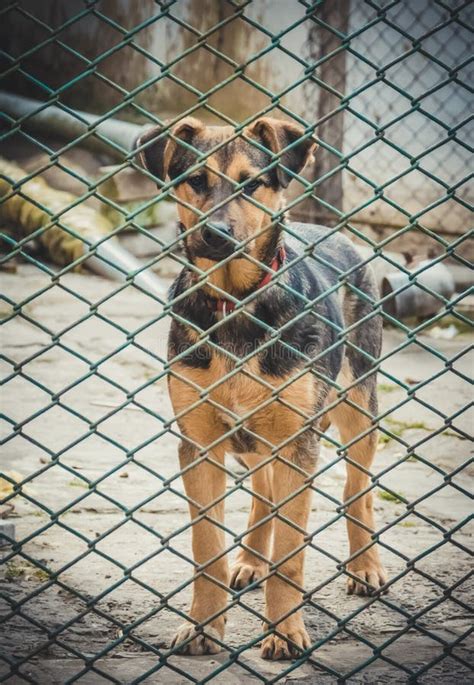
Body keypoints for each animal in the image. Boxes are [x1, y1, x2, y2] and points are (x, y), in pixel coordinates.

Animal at [136, 116, 386, 656]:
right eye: (196, 180)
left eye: (252, 185)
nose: (214, 235)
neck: (235, 304)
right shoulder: (201, 444)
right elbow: (206, 547)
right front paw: (203, 627)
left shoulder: (297, 443)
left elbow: (290, 557)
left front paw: (285, 634)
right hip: (252, 438)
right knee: (263, 494)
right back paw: (251, 559)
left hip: (358, 406)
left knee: (357, 489)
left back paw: (365, 567)